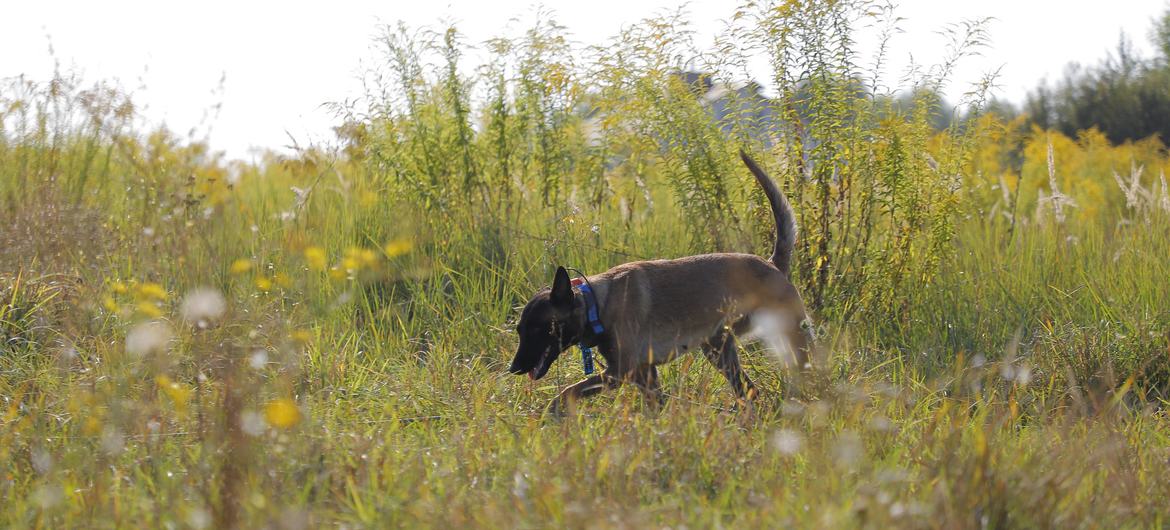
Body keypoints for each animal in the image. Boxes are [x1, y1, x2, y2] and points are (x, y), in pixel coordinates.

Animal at [512, 148, 814, 414]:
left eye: (537, 329)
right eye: (520, 330)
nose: (513, 369)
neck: (596, 304)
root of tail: (772, 264)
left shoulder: (621, 371)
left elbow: (568, 391)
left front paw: (549, 413)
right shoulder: (644, 374)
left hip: (791, 341)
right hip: (717, 349)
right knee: (749, 391)